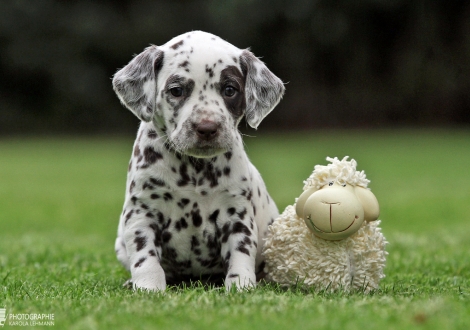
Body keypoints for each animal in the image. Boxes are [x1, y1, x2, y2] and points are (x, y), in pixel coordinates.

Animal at [112, 31, 284, 292]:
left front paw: (241, 287)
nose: (207, 127)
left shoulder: (237, 217)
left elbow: (241, 255)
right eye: (176, 90)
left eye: (230, 89)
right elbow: (145, 258)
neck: (195, 169)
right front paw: (149, 288)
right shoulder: (142, 213)